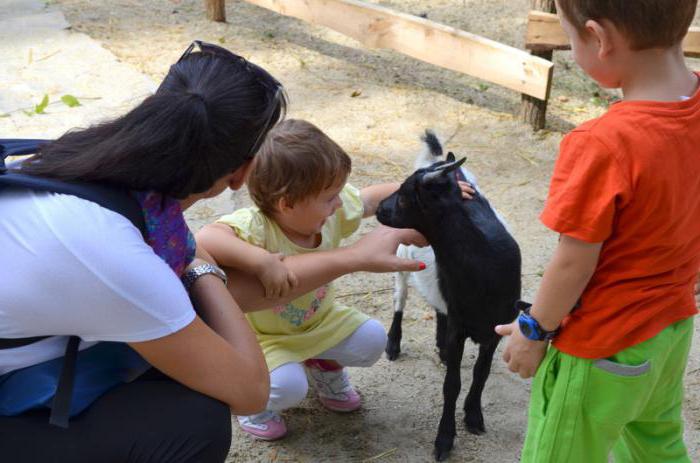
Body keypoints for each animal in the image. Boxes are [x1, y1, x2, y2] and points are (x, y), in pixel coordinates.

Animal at [378, 151, 520, 460]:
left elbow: (481, 373)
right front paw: (444, 438)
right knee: (400, 297)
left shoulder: (494, 330)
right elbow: (451, 385)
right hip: (401, 255)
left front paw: (474, 416)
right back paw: (393, 343)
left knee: (437, 305)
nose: (380, 209)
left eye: (405, 197)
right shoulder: (459, 328)